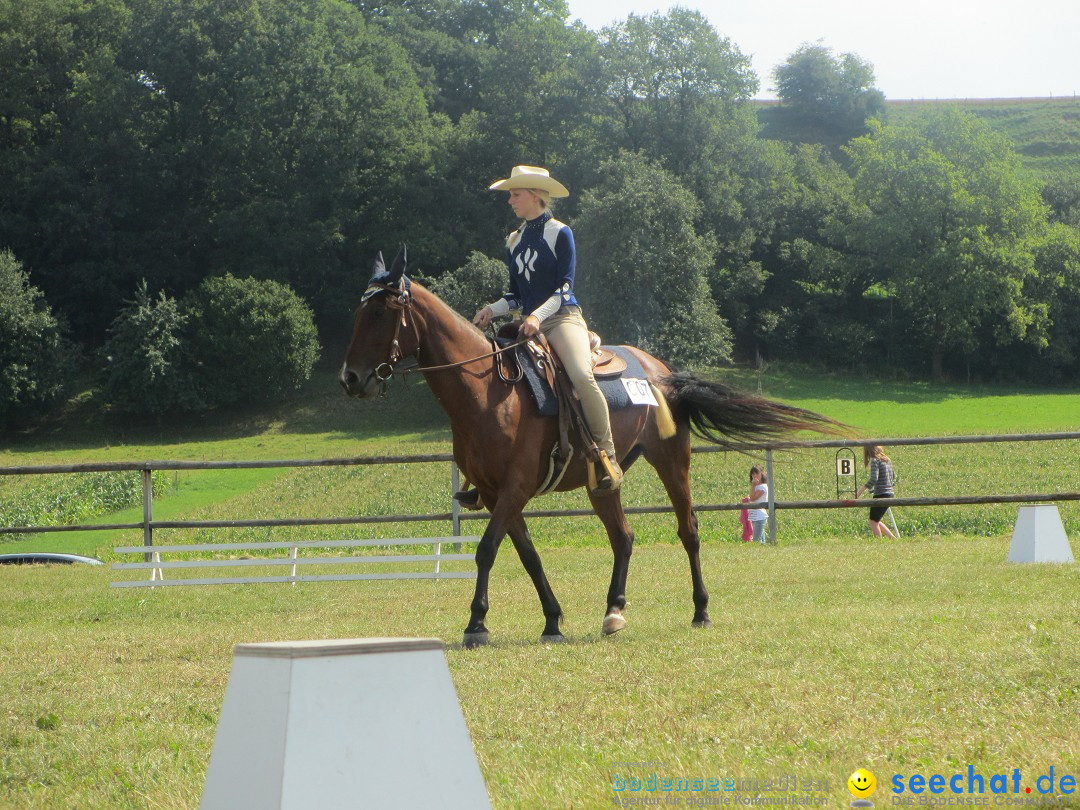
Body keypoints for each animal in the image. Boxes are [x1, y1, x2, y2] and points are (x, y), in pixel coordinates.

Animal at [339, 247, 842, 648]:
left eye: (380, 314)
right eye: (357, 315)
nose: (351, 378)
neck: (488, 391)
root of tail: (665, 373)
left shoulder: (515, 487)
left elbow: (486, 550)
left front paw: (476, 624)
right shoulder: (498, 492)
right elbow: (527, 556)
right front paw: (552, 621)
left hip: (672, 462)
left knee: (689, 530)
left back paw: (700, 611)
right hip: (604, 481)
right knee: (623, 537)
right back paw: (613, 611)